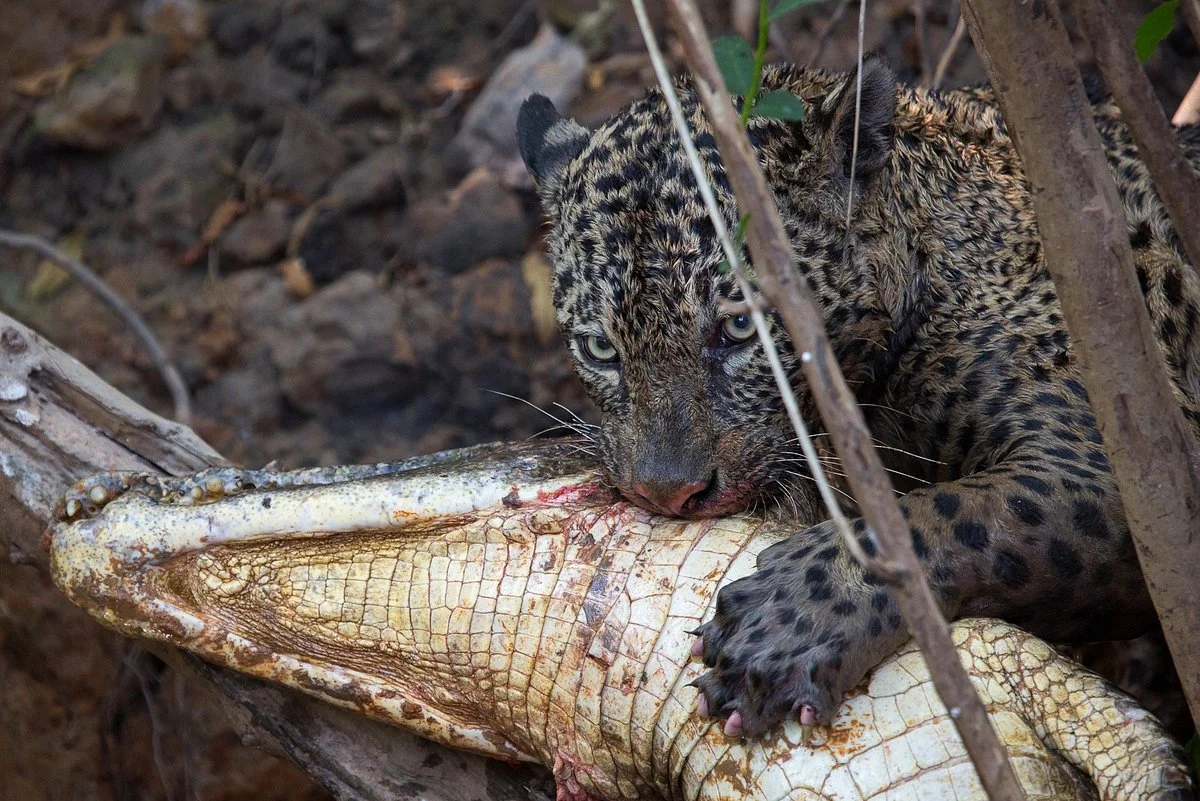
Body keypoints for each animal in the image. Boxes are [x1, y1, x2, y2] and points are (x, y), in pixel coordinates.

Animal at [516, 58, 1200, 738]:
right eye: (600, 347)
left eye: (739, 328)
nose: (668, 494)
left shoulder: (1130, 461)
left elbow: (957, 512)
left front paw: (784, 626)